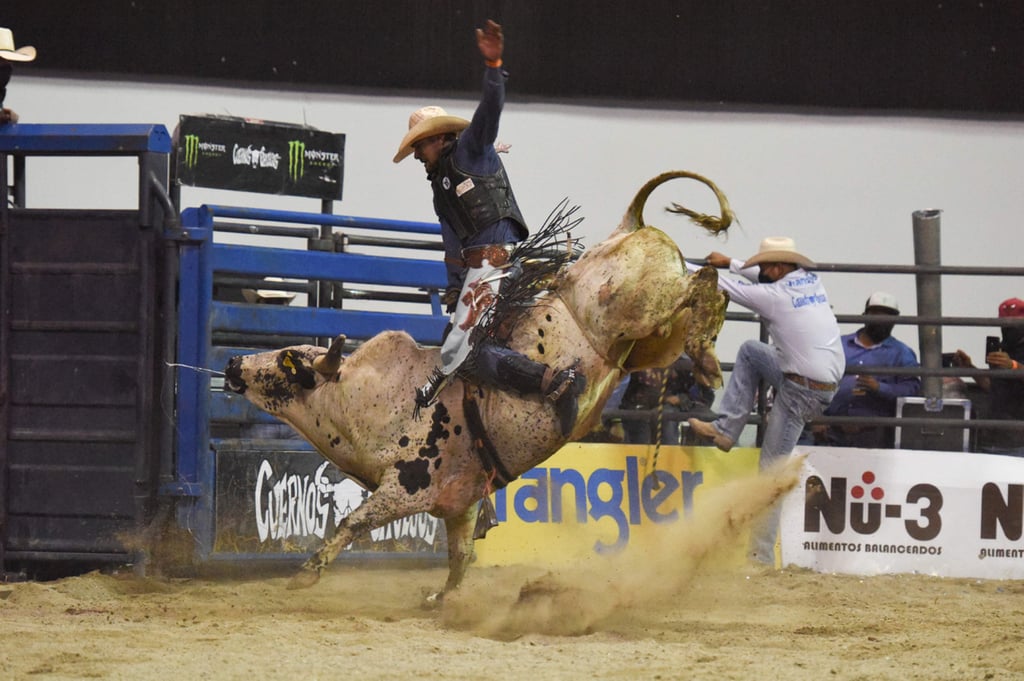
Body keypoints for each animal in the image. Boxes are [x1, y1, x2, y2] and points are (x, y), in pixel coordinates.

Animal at [225, 169, 737, 602]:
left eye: (287, 364)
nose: (233, 362)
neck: (370, 399)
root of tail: (627, 228)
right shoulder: (460, 502)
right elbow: (461, 555)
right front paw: (443, 598)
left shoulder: (407, 486)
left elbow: (353, 522)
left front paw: (306, 573)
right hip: (650, 340)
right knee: (698, 294)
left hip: (643, 307)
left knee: (705, 282)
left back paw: (709, 357)